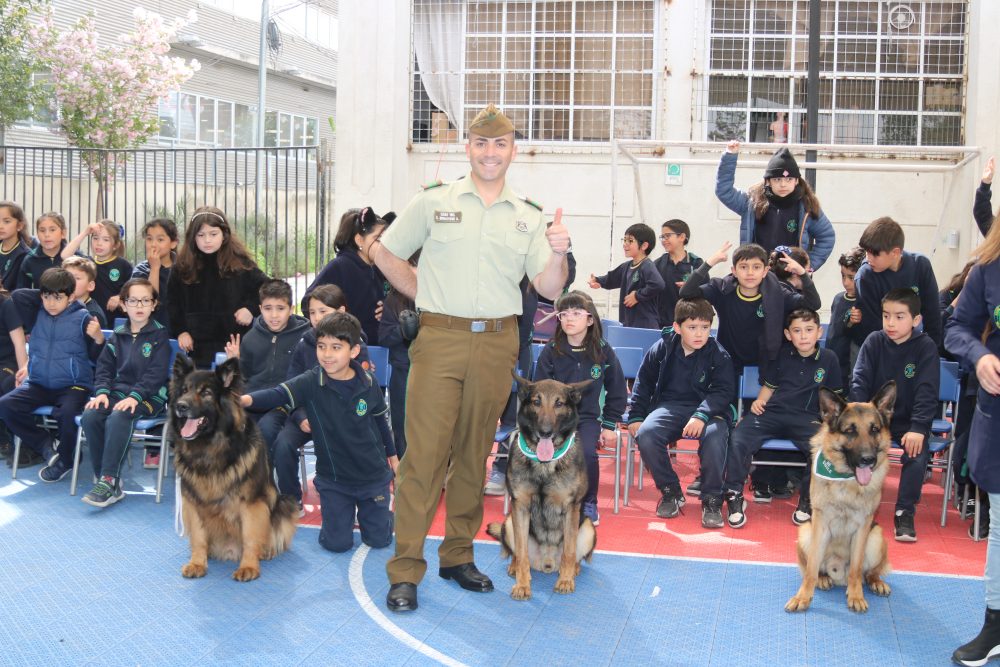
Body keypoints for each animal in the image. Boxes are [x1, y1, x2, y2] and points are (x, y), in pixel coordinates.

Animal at [172, 358, 298, 580]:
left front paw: (248, 566)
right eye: (184, 390)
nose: (181, 406)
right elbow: (198, 536)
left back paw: (265, 550)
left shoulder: (251, 503)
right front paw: (197, 563)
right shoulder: (192, 502)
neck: (210, 448)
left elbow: (250, 536)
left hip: (286, 502)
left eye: (206, 392)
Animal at [488, 378, 596, 604]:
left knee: (573, 555)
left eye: (559, 403)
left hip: (588, 527)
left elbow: (569, 552)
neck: (545, 464)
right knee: (518, 554)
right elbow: (521, 554)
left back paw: (572, 571)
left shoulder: (570, 509)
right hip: (509, 522)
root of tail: (546, 564)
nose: (545, 431)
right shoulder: (520, 507)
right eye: (536, 402)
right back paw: (515, 567)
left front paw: (565, 581)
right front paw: (522, 585)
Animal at [788, 384, 900, 612]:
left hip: (876, 537)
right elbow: (811, 568)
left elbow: (856, 570)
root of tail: (838, 573)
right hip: (806, 533)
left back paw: (875, 582)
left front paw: (856, 596)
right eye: (850, 431)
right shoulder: (820, 525)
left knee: (869, 572)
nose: (868, 460)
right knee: (816, 567)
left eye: (874, 429)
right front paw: (803, 596)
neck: (847, 480)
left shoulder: (863, 528)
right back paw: (823, 577)